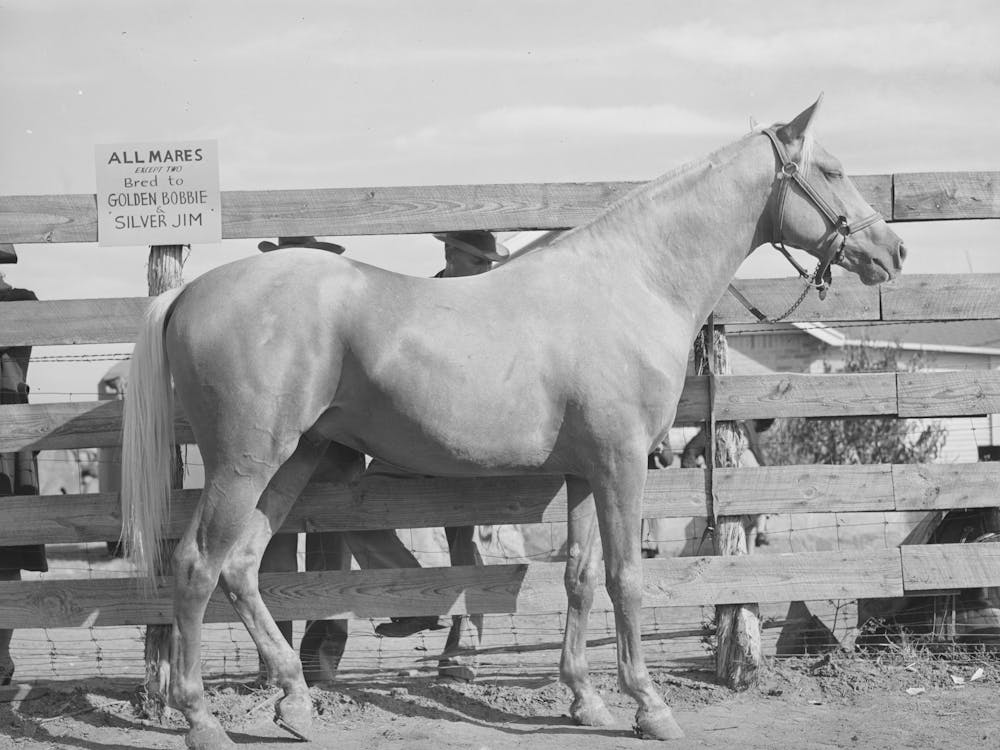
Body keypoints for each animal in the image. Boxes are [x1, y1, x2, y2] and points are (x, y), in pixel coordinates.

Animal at [120, 98, 905, 748]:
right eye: (832, 170)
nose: (892, 252)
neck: (630, 282)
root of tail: (189, 293)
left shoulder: (586, 473)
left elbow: (582, 578)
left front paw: (587, 701)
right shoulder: (622, 463)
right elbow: (626, 578)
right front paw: (650, 707)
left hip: (294, 459)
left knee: (242, 566)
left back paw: (295, 702)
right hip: (246, 463)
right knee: (197, 566)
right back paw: (201, 721)